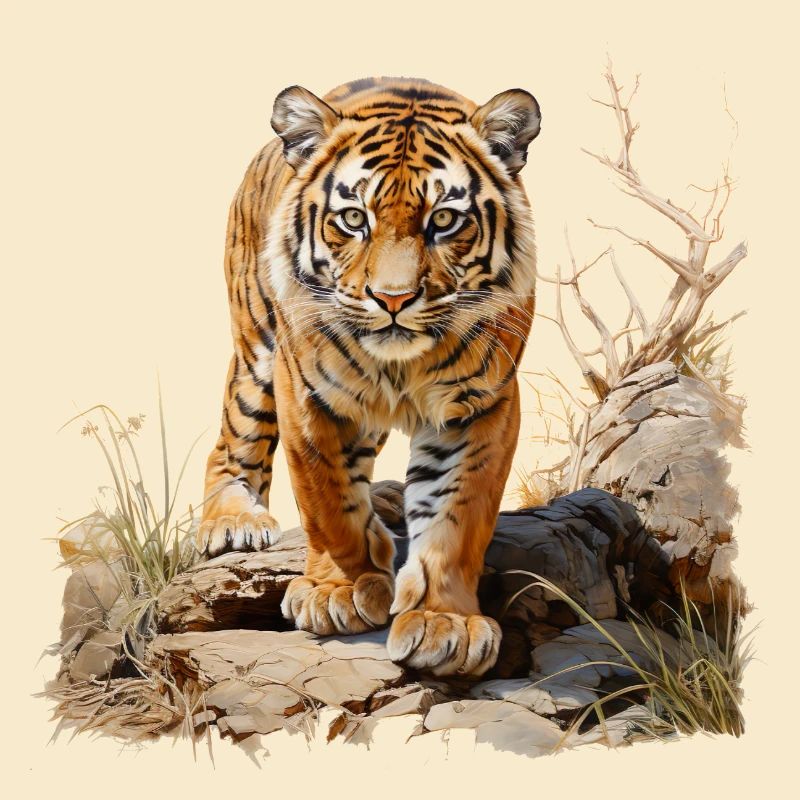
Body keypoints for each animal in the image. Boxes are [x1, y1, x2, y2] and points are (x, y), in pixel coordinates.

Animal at [196, 77, 541, 677]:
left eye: (444, 220)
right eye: (354, 219)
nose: (393, 299)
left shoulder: (483, 404)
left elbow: (458, 515)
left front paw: (444, 623)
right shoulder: (306, 393)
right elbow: (327, 499)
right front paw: (338, 590)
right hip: (255, 347)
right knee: (234, 438)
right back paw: (233, 520)